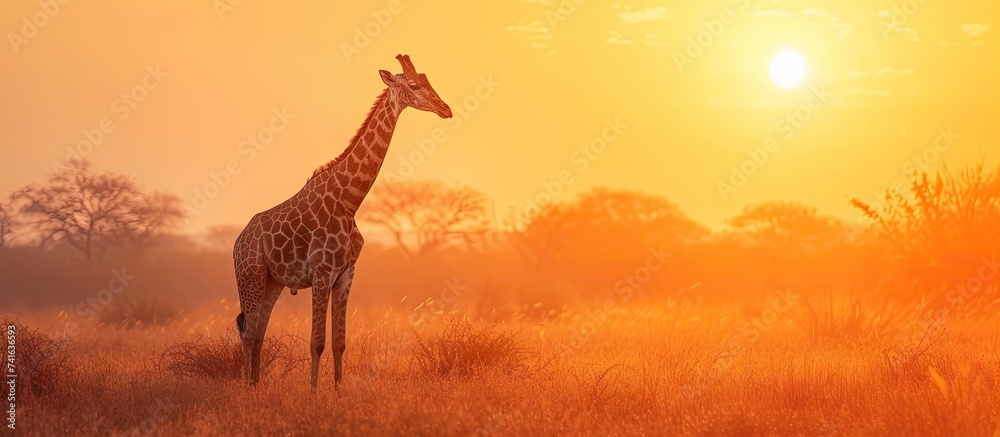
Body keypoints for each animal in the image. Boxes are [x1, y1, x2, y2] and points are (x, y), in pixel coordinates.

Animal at [233, 54, 452, 389]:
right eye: (415, 85)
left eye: (428, 79)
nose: (445, 109)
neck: (349, 201)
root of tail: (237, 243)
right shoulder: (322, 273)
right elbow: (317, 342)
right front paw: (313, 393)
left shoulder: (347, 274)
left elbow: (339, 342)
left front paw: (337, 392)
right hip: (251, 275)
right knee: (247, 333)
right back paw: (248, 389)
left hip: (272, 282)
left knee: (258, 334)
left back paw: (256, 387)